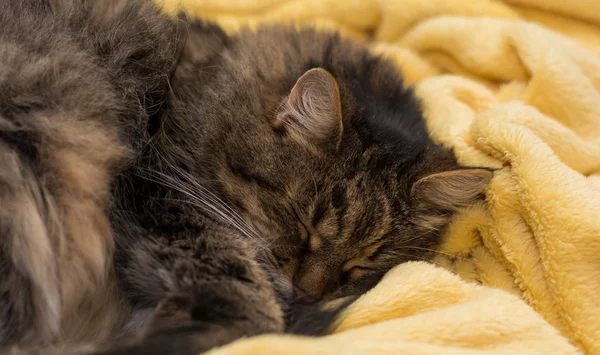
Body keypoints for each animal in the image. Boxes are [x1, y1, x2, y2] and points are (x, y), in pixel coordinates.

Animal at [0, 0, 492, 354]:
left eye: (363, 263)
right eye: (303, 224)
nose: (307, 293)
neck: (199, 82)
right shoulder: (157, 187)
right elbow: (247, 298)